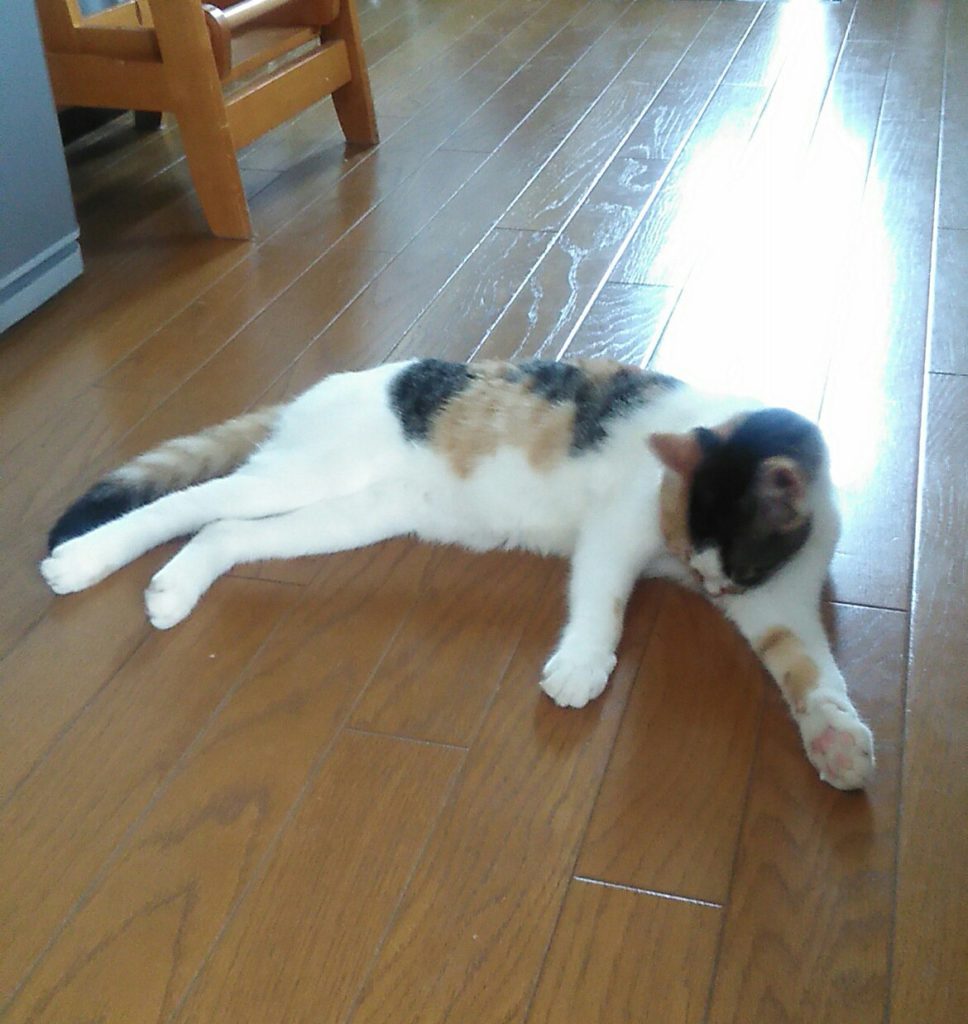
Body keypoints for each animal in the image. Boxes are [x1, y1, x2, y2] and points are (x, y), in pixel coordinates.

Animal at [41, 357, 874, 790]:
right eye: (679, 538)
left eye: (733, 569)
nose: (705, 588)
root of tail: (323, 388)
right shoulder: (617, 530)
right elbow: (602, 600)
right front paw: (582, 667)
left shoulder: (780, 604)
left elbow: (813, 669)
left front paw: (837, 740)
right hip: (304, 476)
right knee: (188, 503)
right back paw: (79, 562)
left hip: (347, 515)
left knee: (223, 532)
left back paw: (174, 589)